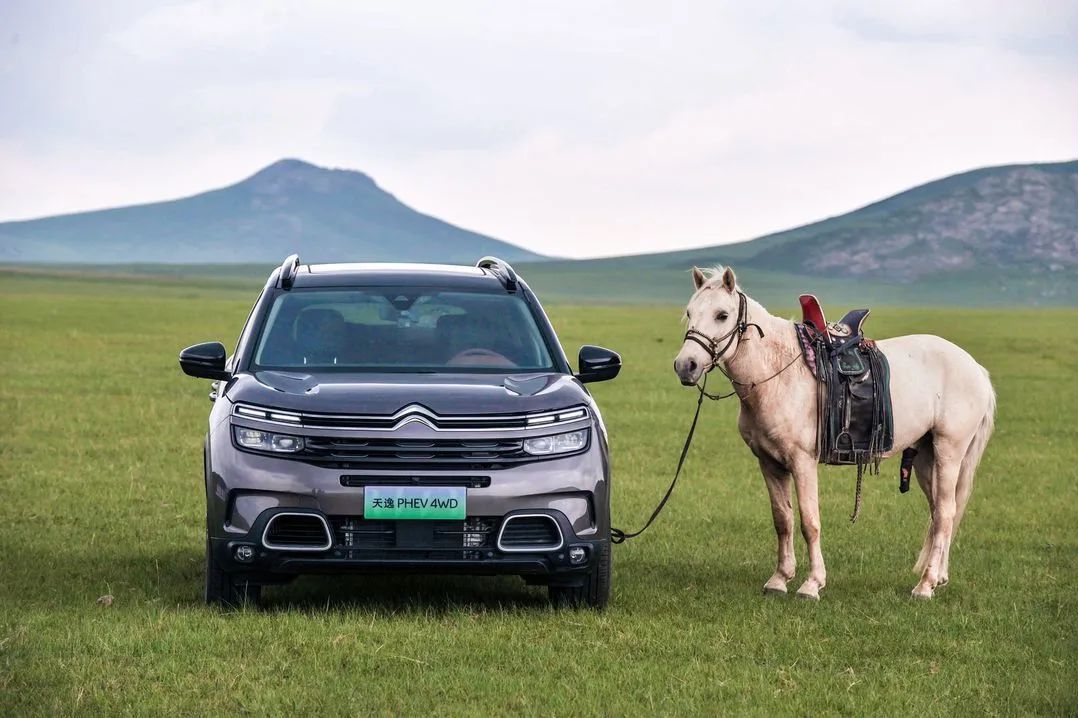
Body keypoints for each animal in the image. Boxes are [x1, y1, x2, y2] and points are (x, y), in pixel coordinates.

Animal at [672, 265, 991, 595]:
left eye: (722, 315)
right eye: (689, 312)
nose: (686, 365)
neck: (777, 375)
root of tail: (975, 368)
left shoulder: (802, 461)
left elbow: (809, 522)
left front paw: (812, 583)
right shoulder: (769, 462)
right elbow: (782, 520)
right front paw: (780, 579)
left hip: (949, 451)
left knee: (945, 514)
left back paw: (925, 586)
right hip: (927, 457)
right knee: (939, 512)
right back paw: (938, 576)